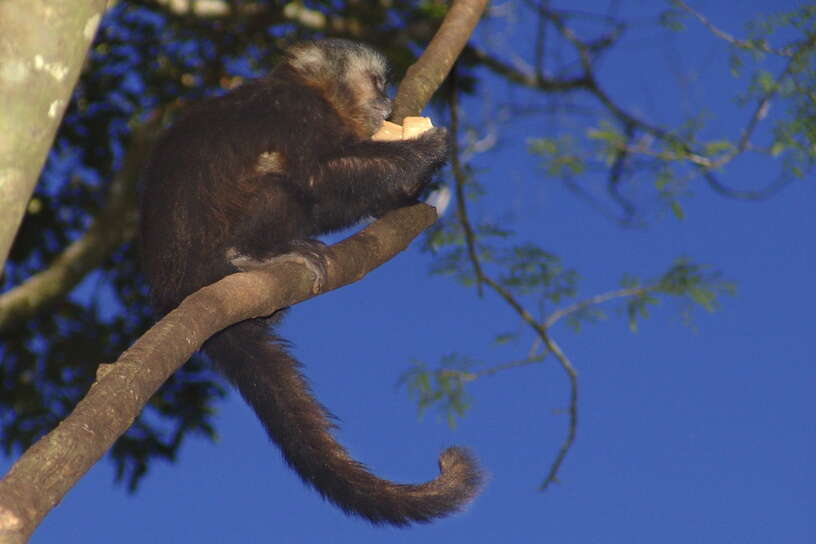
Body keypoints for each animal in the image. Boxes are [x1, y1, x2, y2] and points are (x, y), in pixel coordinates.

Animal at [139, 39, 482, 528]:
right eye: (376, 82)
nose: (387, 103)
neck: (311, 91)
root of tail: (174, 293)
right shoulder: (299, 110)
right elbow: (318, 177)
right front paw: (427, 150)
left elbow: (330, 201)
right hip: (207, 258)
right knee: (281, 183)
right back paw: (251, 253)